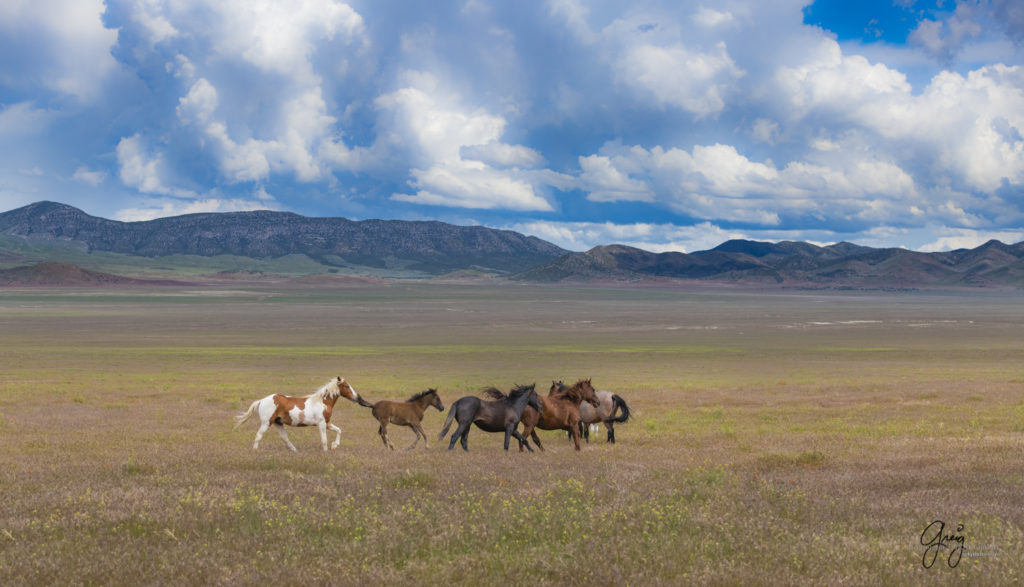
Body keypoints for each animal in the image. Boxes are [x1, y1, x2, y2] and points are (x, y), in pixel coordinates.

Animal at [234, 376, 362, 450]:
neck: (323, 402)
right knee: (258, 436)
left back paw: (294, 450)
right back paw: (255, 451)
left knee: (284, 438)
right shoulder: (321, 423)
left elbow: (339, 430)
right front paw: (326, 451)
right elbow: (324, 440)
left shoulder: (327, 423)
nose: (357, 397)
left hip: (278, 423)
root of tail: (261, 400)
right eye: (347, 386)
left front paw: (334, 445)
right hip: (266, 423)